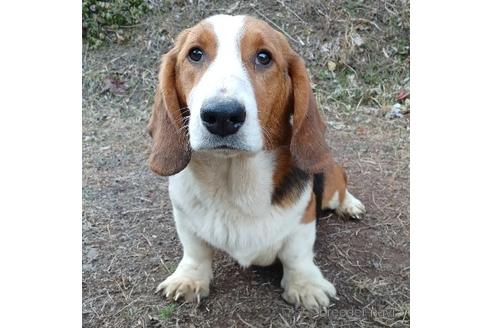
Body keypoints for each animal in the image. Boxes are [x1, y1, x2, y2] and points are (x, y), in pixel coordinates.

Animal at [148, 13, 368, 310]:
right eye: (195, 53)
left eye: (264, 57)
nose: (222, 115)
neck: (235, 183)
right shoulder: (184, 218)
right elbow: (195, 250)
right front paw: (189, 278)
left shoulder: (303, 220)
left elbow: (297, 254)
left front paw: (305, 284)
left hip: (330, 185)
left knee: (341, 184)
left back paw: (350, 205)